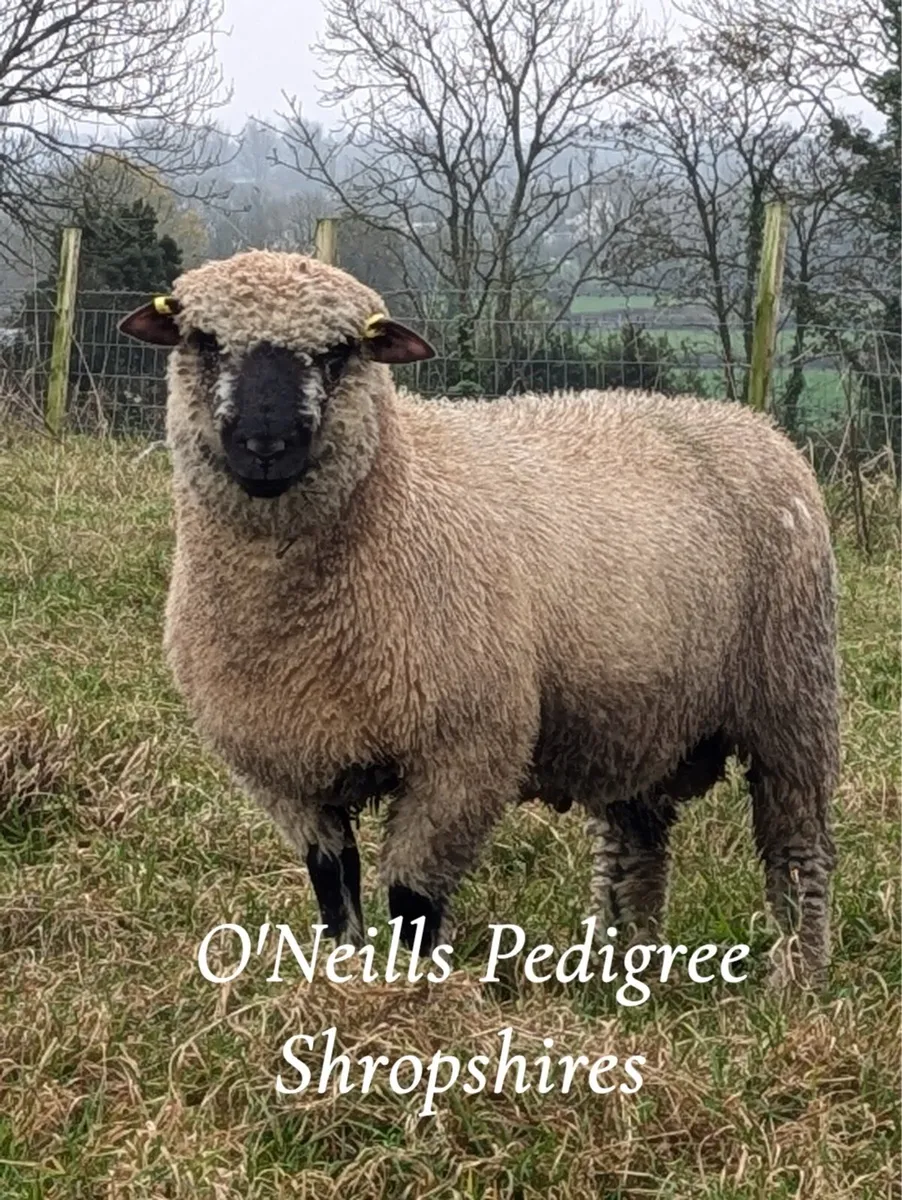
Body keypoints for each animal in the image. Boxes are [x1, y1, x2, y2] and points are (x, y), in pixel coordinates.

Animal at [120, 249, 839, 986]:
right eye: (203, 340)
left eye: (341, 351)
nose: (266, 445)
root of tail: (752, 422)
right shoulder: (282, 766)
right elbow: (333, 883)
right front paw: (344, 972)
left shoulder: (464, 754)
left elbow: (412, 899)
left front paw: (412, 990)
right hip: (639, 713)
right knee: (636, 846)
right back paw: (623, 963)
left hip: (792, 697)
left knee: (796, 847)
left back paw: (797, 974)